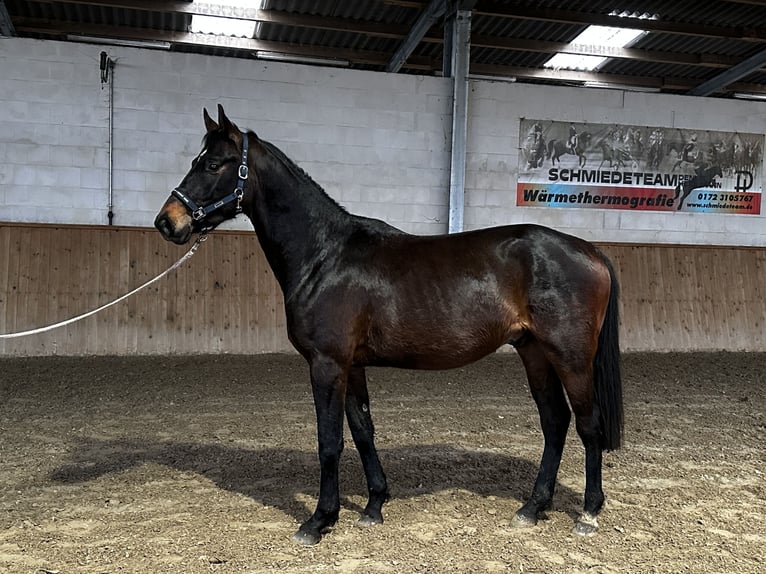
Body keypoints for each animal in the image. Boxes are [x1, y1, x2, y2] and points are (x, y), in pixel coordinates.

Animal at [154, 105, 623, 546]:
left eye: (215, 164)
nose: (167, 221)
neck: (325, 256)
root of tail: (591, 252)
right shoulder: (352, 365)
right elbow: (363, 431)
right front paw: (374, 505)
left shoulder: (326, 364)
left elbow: (329, 442)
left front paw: (319, 520)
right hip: (534, 352)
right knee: (554, 422)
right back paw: (532, 506)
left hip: (571, 357)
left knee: (587, 425)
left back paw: (588, 513)